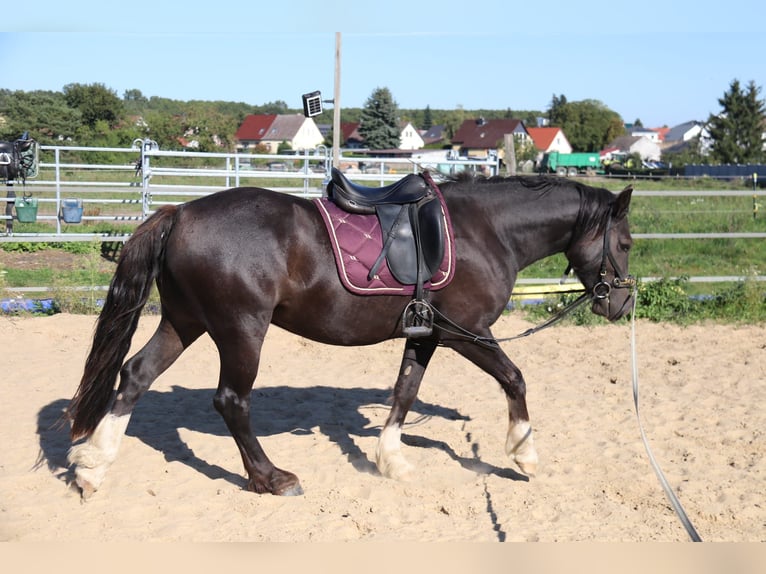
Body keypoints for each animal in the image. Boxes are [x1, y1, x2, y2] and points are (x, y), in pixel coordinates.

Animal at [65, 172, 634, 498]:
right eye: (626, 243)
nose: (622, 304)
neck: (484, 230)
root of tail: (179, 212)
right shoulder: (468, 332)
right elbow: (515, 378)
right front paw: (523, 453)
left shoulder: (427, 333)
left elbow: (405, 392)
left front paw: (391, 460)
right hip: (241, 330)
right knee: (231, 401)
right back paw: (271, 479)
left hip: (186, 321)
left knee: (135, 376)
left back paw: (92, 467)